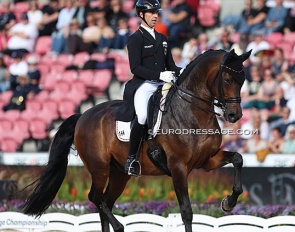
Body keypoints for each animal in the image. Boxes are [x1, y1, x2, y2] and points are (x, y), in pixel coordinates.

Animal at [22, 49, 252, 232]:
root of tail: (83, 115)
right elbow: (186, 211)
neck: (192, 111)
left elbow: (238, 158)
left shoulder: (207, 160)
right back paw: (119, 226)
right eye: (228, 79)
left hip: (119, 174)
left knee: (105, 201)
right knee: (96, 197)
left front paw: (228, 202)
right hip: (99, 167)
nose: (234, 115)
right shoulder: (178, 166)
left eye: (242, 80)